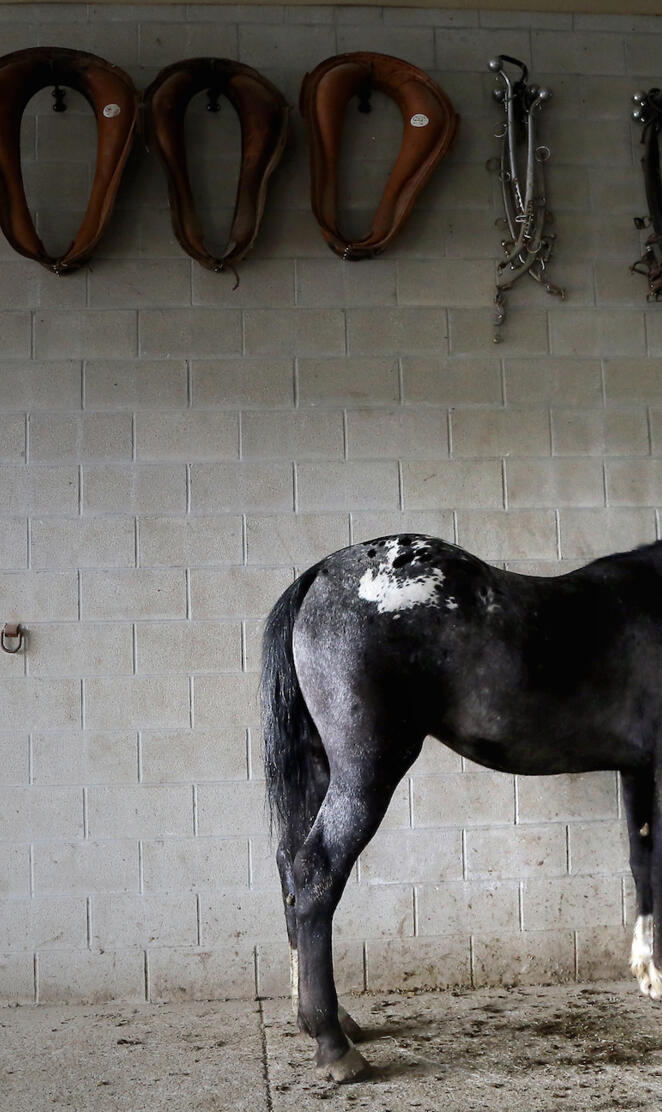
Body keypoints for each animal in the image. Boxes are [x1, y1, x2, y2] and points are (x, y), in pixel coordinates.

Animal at [261, 532, 662, 1082]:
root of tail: (319, 574)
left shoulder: (637, 768)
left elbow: (642, 863)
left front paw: (649, 973)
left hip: (322, 767)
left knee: (289, 868)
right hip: (368, 770)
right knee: (316, 872)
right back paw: (334, 1045)